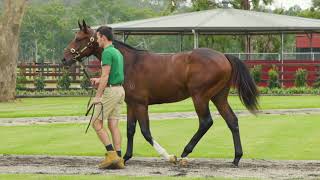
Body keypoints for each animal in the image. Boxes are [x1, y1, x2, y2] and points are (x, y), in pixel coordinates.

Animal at [62, 20, 260, 166]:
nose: (64, 59)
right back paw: (236, 158)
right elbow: (130, 129)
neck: (129, 62)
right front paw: (124, 157)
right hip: (218, 97)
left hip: (200, 97)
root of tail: (224, 56)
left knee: (206, 122)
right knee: (232, 121)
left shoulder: (141, 105)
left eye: (79, 38)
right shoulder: (132, 104)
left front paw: (167, 156)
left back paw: (184, 153)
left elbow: (145, 131)